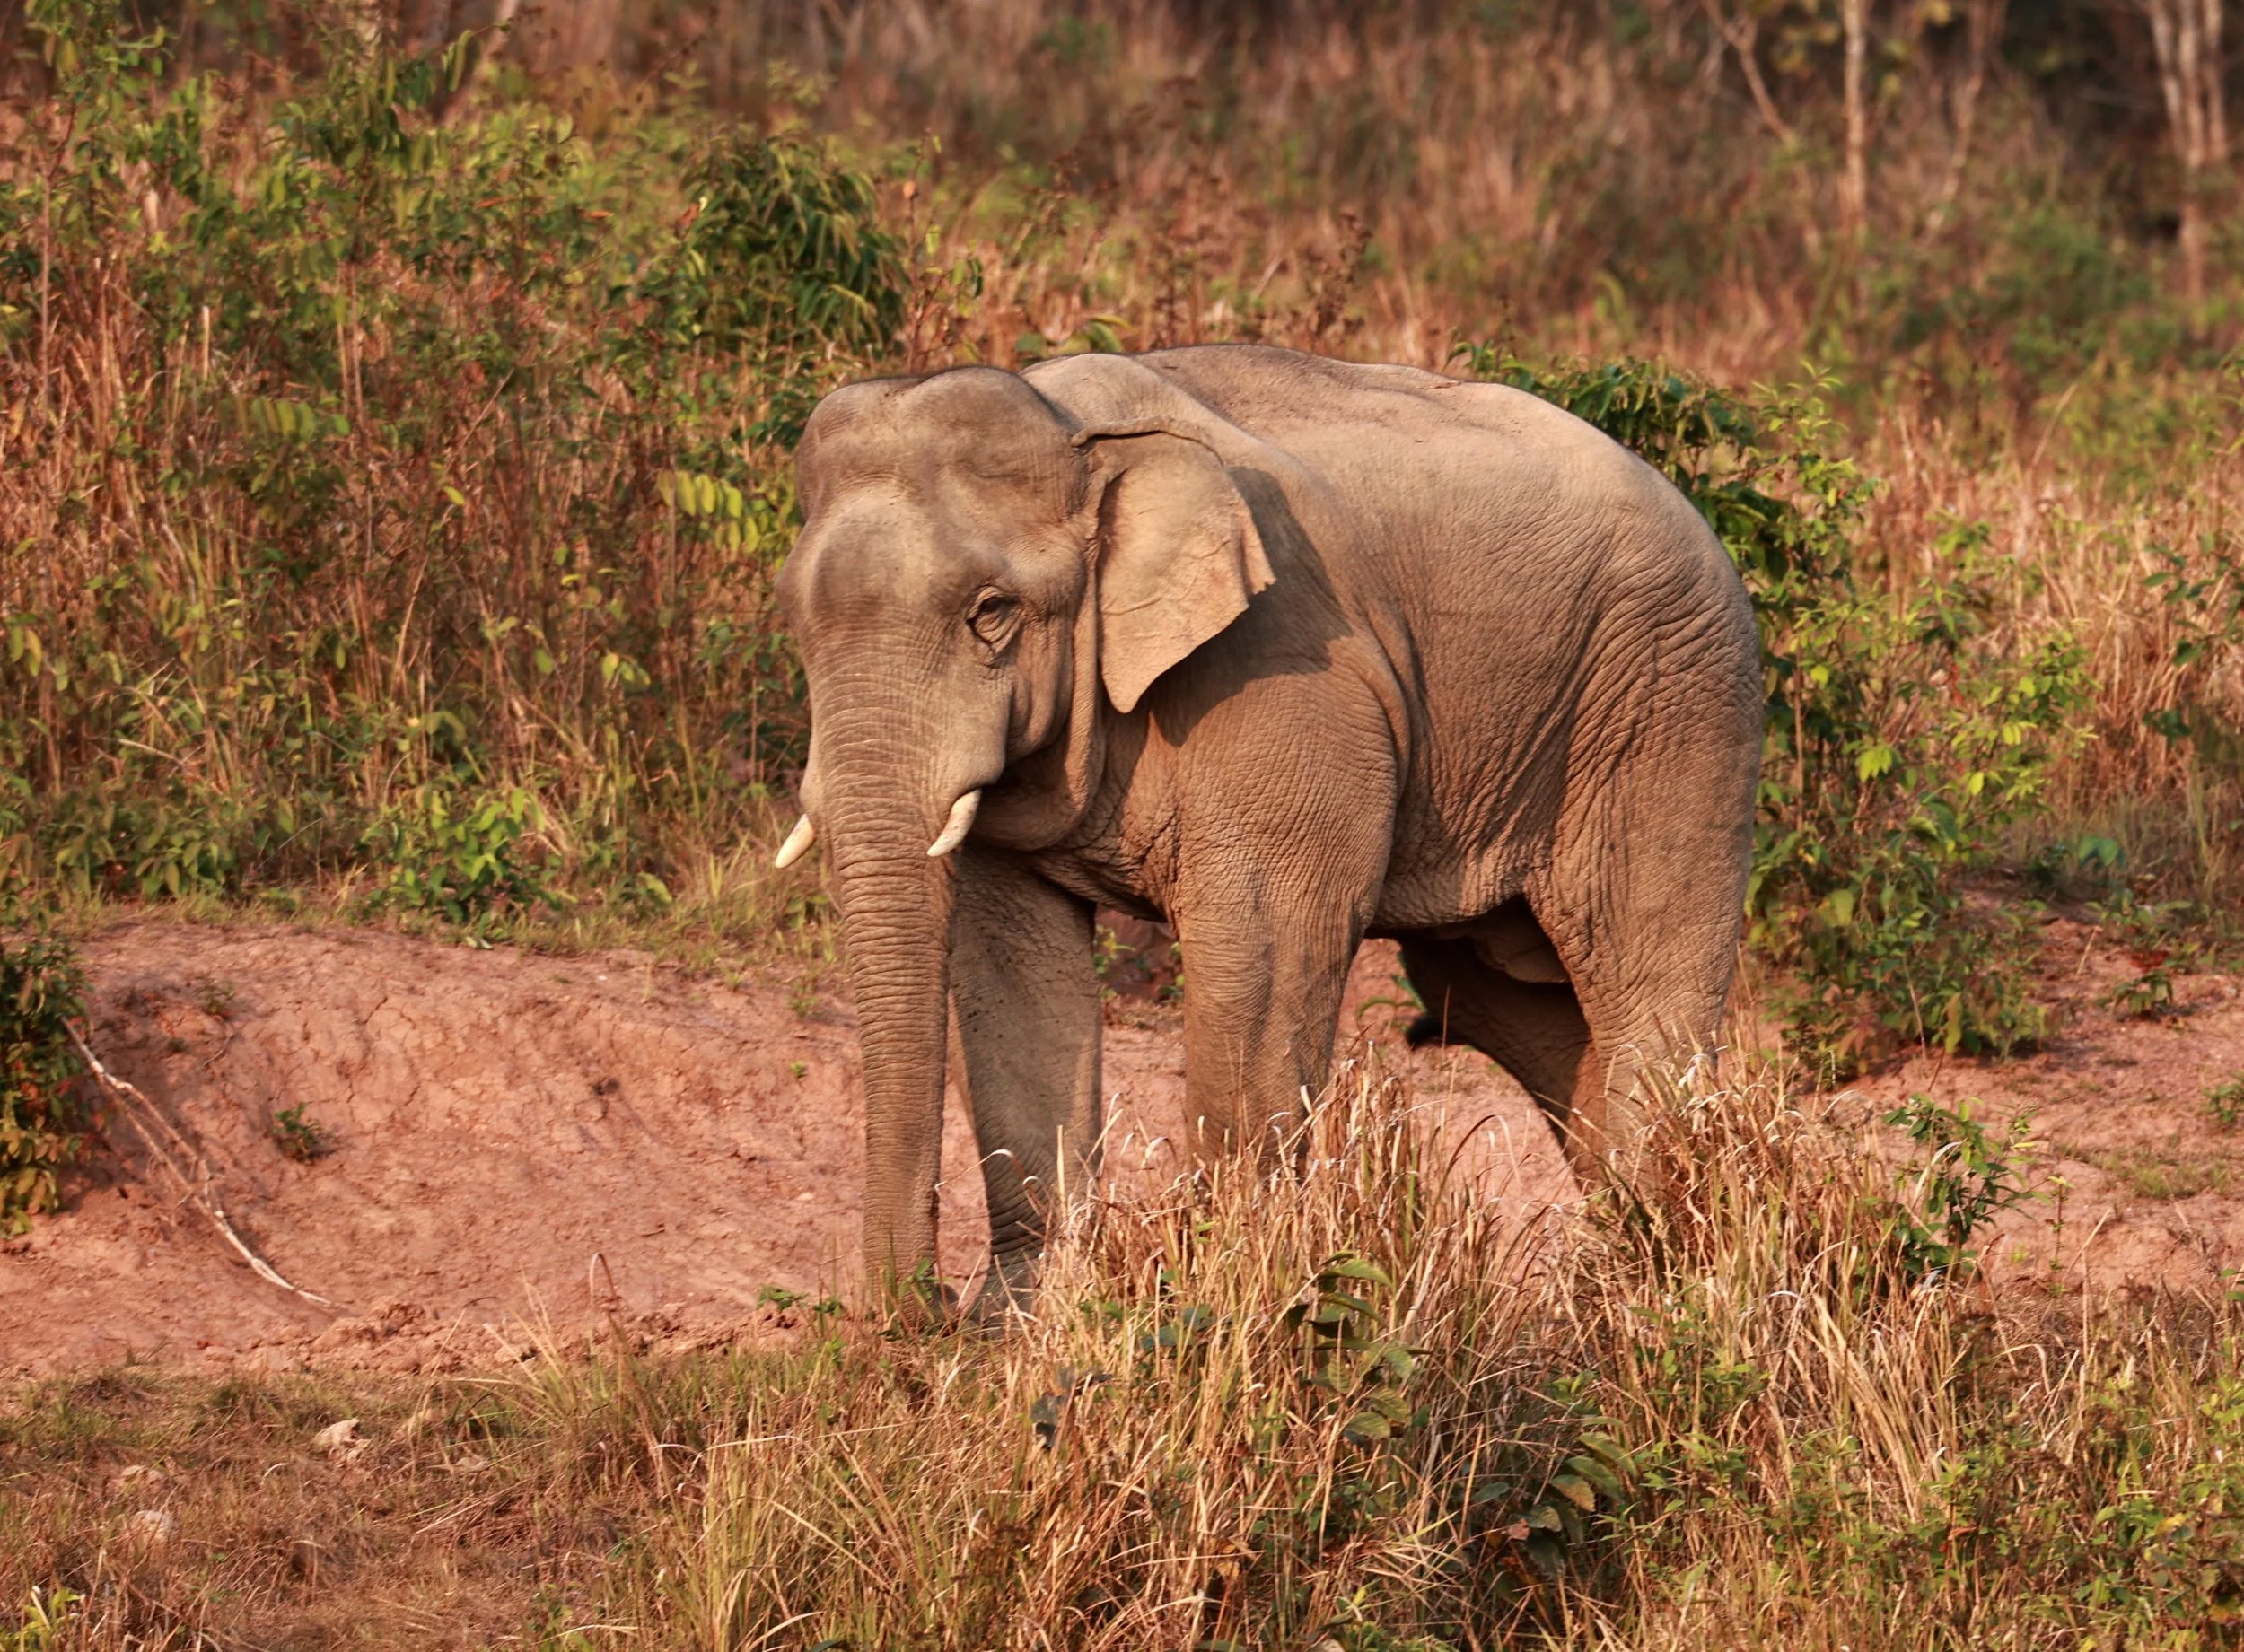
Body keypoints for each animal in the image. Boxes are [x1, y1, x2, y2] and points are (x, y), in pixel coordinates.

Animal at [772, 344, 1762, 1306]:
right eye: (797, 619)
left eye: (991, 613)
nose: (922, 1304)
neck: (1075, 431)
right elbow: (1013, 968)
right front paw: (1021, 1319)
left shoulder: (1283, 686)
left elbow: (1262, 945)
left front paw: (1225, 1288)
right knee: (1508, 996)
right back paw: (1626, 1269)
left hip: (1670, 705)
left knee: (1643, 974)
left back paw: (1662, 1280)